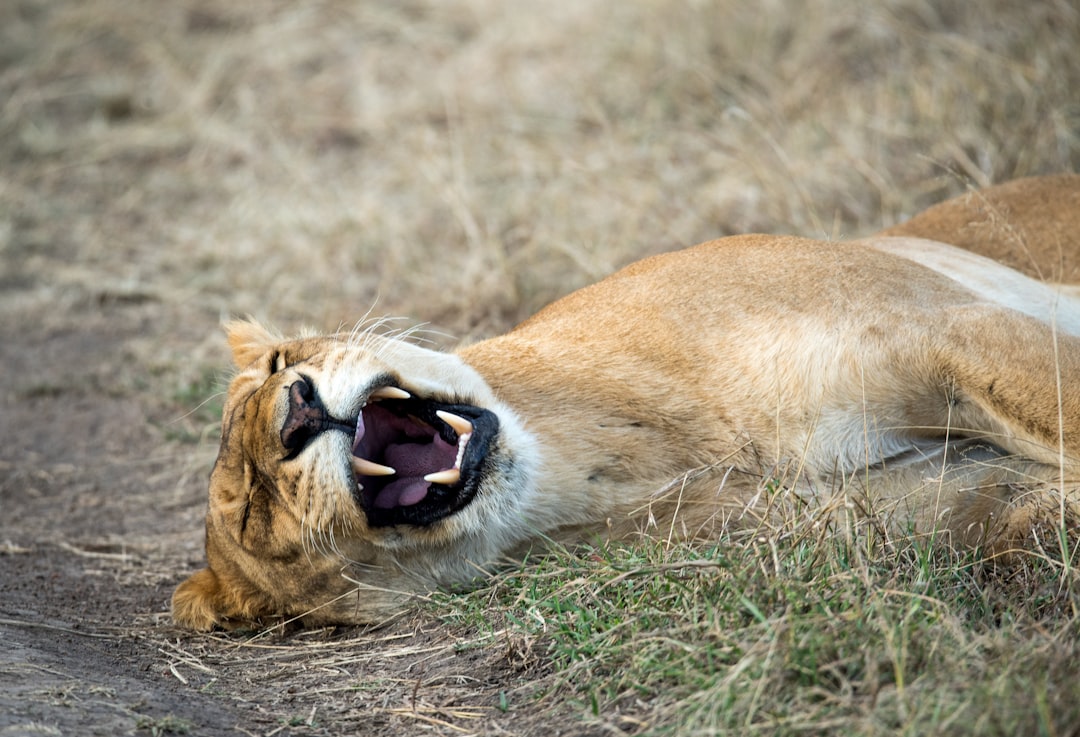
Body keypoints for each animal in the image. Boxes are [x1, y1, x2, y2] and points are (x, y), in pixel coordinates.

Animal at [172, 175, 1080, 626]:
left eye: (280, 363)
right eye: (258, 512)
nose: (298, 410)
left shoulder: (945, 325)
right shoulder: (943, 497)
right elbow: (1034, 515)